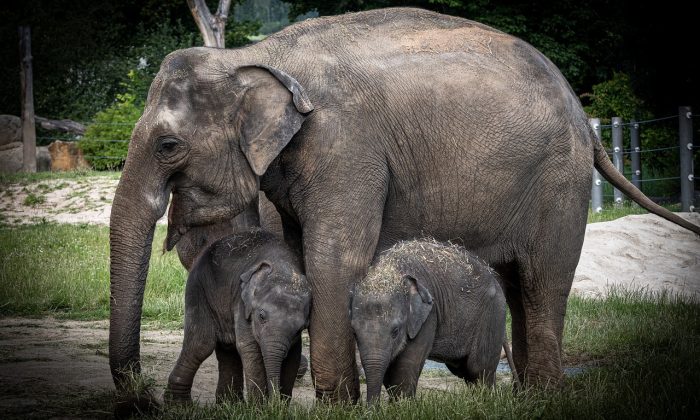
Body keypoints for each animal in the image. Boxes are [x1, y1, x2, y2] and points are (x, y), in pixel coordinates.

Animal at [165, 230, 310, 404]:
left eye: (300, 328)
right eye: (261, 316)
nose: (273, 401)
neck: (285, 269)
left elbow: (293, 356)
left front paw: (279, 406)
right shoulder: (242, 303)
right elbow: (250, 349)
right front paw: (259, 407)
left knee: (227, 348)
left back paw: (229, 404)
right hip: (198, 287)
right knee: (200, 345)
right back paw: (179, 404)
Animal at [350, 240, 516, 404]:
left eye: (395, 331)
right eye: (354, 333)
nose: (371, 408)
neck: (390, 270)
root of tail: (494, 277)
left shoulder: (429, 315)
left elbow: (406, 365)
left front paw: (402, 406)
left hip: (493, 315)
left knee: (478, 368)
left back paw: (487, 400)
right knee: (465, 370)